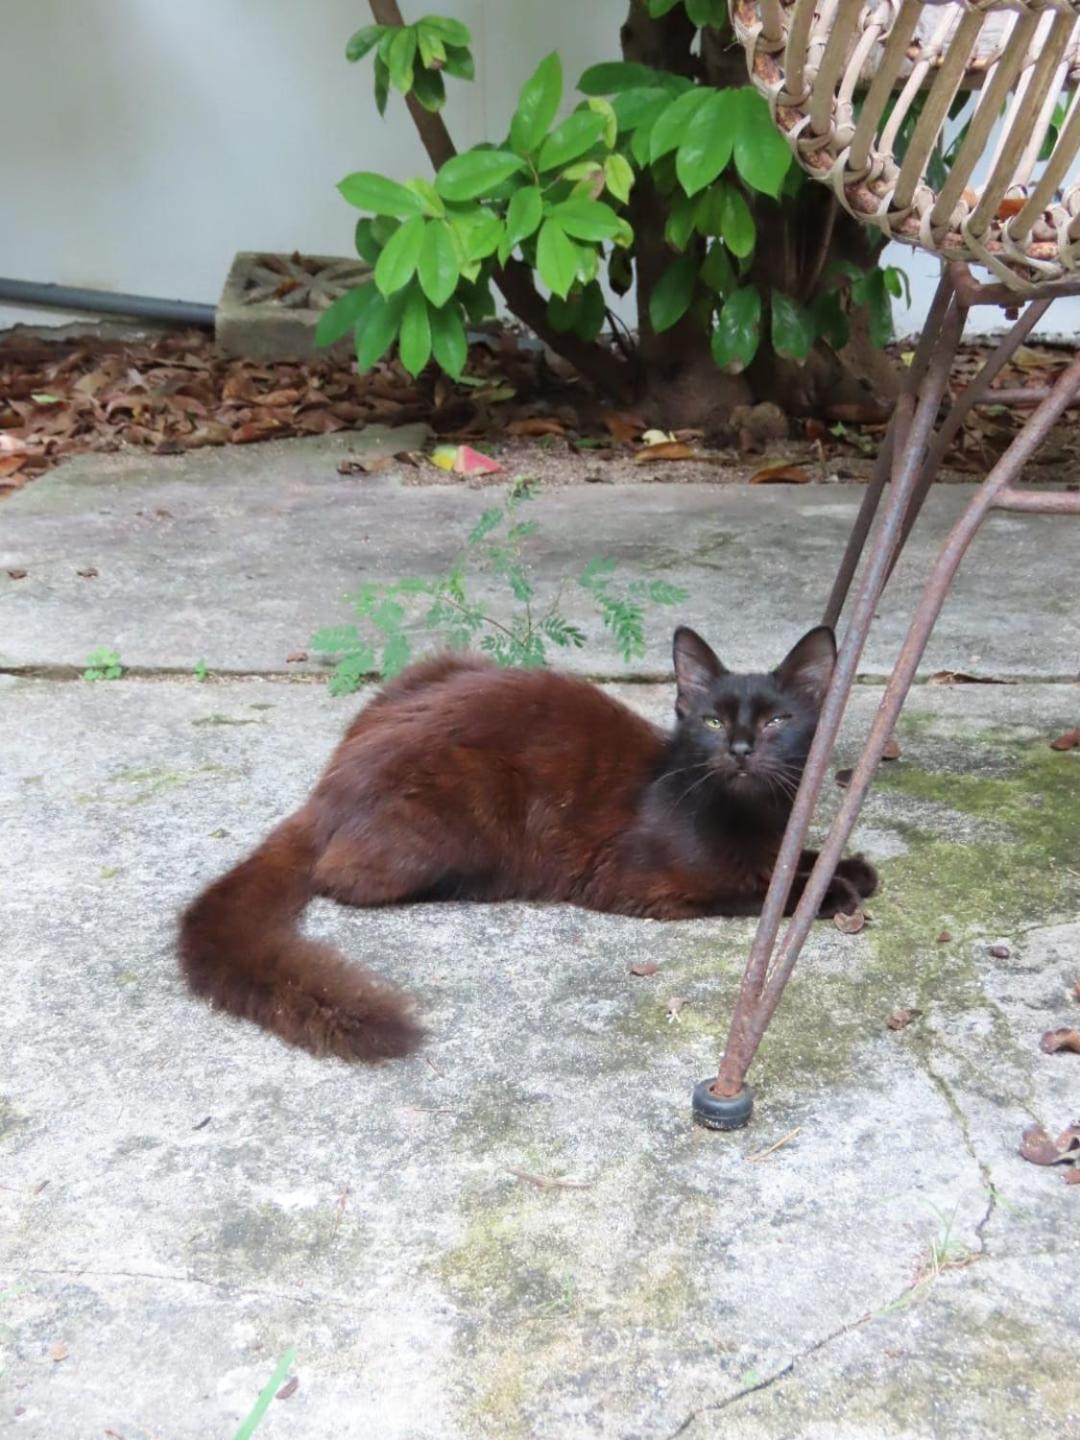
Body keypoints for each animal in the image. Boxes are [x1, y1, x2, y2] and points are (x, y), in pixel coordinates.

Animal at [182, 624, 881, 1065]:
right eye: (712, 721)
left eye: (776, 721)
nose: (739, 750)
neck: (750, 814)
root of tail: (326, 785)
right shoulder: (652, 886)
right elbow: (760, 890)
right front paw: (833, 891)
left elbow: (790, 863)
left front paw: (847, 867)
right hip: (469, 802)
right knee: (345, 877)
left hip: (445, 662)